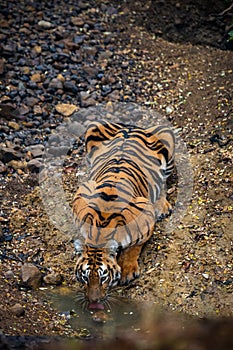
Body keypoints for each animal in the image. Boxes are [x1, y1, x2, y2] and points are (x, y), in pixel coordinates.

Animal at [73, 120, 175, 306]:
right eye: (85, 278)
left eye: (103, 278)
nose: (94, 302)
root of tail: (130, 127)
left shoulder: (145, 212)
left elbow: (133, 247)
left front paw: (127, 271)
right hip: (93, 127)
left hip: (168, 137)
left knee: (164, 180)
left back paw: (162, 207)